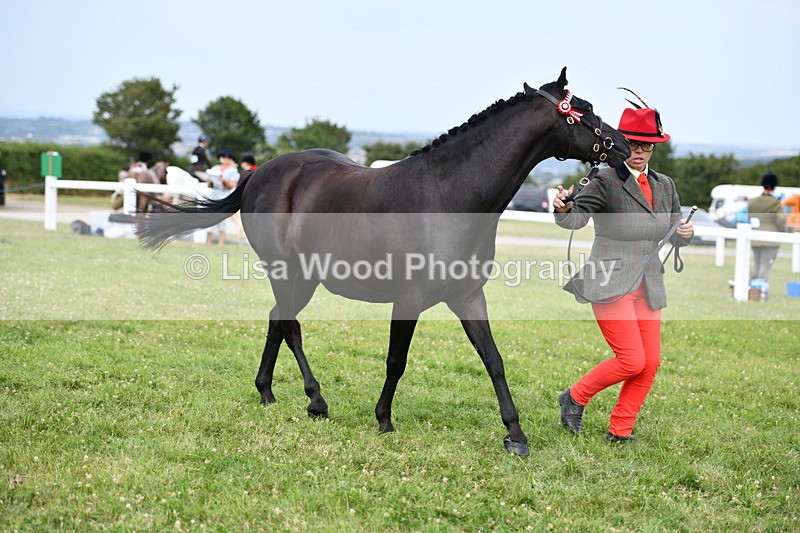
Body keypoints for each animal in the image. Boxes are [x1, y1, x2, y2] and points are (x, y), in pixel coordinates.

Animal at [136, 68, 630, 456]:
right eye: (582, 109)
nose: (624, 146)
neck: (449, 195)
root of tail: (261, 173)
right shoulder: (408, 298)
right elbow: (397, 360)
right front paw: (384, 419)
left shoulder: (468, 296)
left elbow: (493, 359)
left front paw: (515, 435)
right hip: (288, 272)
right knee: (290, 325)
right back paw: (316, 401)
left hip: (302, 277)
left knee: (278, 320)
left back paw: (268, 392)